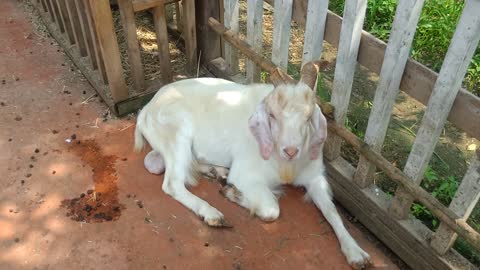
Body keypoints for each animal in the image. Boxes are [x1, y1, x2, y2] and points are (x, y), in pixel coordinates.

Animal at [133, 67, 374, 268]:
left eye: (308, 117)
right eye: (272, 115)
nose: (291, 150)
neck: (286, 165)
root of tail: (146, 108)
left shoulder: (315, 177)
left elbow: (332, 211)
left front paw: (356, 253)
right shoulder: (246, 173)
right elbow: (271, 210)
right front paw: (232, 193)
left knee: (161, 163)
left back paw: (217, 172)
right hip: (176, 132)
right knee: (172, 182)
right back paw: (212, 213)